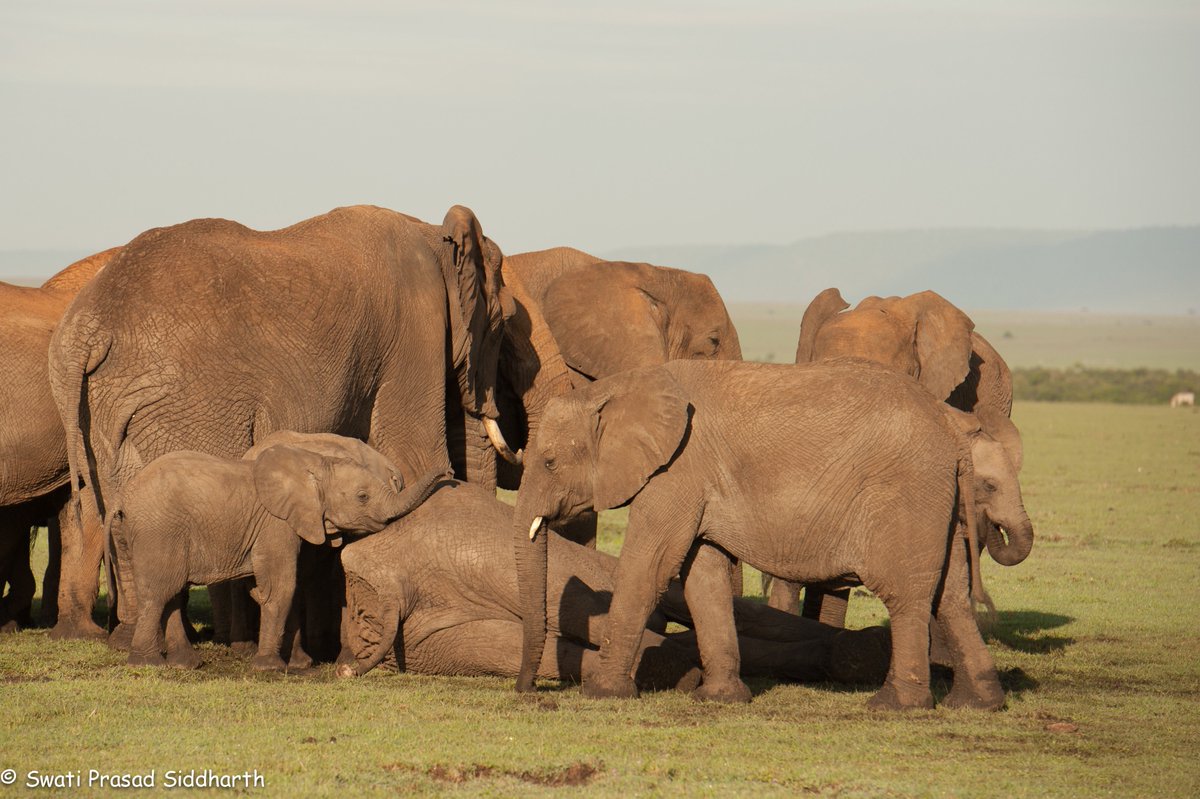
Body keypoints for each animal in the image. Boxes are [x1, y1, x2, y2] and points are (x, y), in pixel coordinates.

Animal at [108, 435, 446, 670]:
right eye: (362, 497)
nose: (447, 474)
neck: (316, 465)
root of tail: (124, 497)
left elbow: (278, 587)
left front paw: (295, 664)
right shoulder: (276, 525)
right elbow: (281, 586)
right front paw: (270, 668)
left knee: (172, 593)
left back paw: (186, 664)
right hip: (158, 531)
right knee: (159, 592)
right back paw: (147, 663)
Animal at [513, 360, 1034, 710]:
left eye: (550, 462)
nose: (528, 691)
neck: (614, 388)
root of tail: (952, 433)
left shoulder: (675, 472)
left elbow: (649, 568)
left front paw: (603, 695)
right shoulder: (694, 482)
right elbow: (704, 576)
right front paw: (721, 700)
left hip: (906, 494)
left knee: (907, 593)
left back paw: (894, 706)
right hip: (941, 504)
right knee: (952, 596)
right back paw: (977, 704)